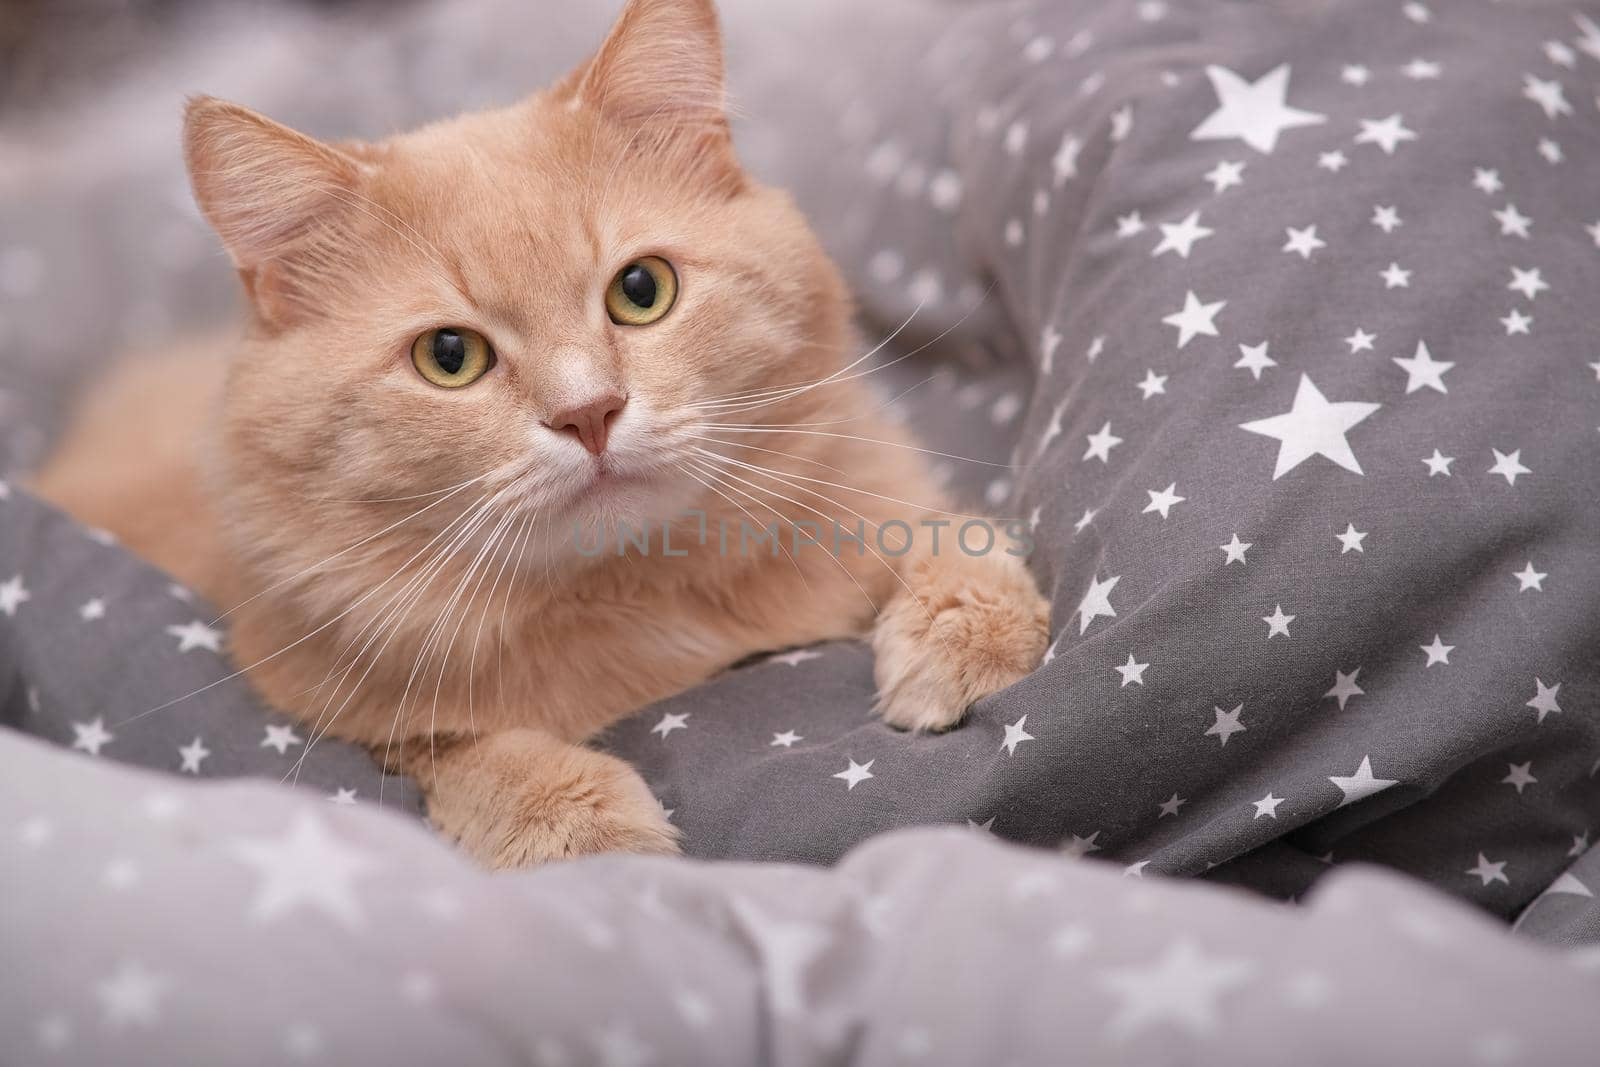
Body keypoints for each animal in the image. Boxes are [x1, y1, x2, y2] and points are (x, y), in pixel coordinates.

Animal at [34, 0, 1049, 870]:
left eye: (641, 290)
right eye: (449, 356)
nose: (588, 412)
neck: (640, 590)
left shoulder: (879, 481)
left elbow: (950, 532)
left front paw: (965, 639)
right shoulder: (323, 690)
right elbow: (464, 747)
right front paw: (579, 829)